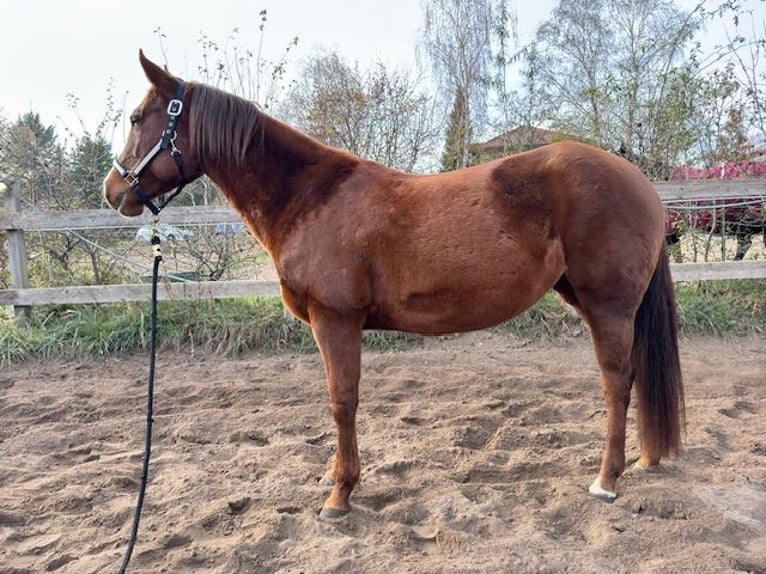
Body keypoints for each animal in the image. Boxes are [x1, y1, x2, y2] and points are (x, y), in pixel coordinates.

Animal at [103, 54, 688, 520]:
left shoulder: (335, 321)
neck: (311, 198)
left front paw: (340, 495)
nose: (113, 191)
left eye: (136, 118)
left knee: (617, 382)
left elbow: (342, 401)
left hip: (607, 305)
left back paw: (606, 480)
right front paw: (333, 477)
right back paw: (643, 459)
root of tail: (640, 182)